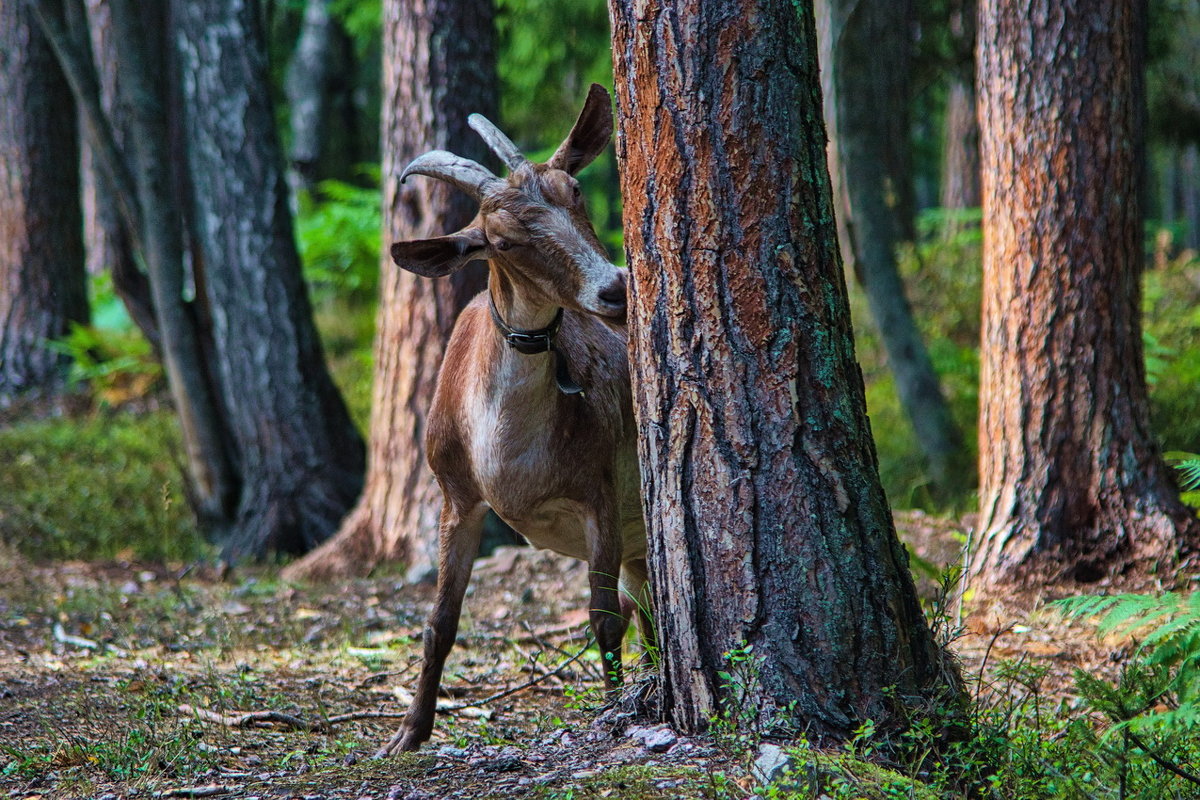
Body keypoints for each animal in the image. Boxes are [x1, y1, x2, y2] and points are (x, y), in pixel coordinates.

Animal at [379, 84, 652, 753]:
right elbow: (439, 622)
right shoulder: (456, 494)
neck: (505, 456)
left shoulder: (600, 491)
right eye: (500, 240)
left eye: (573, 191)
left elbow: (604, 618)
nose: (615, 291)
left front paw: (612, 710)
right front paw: (408, 734)